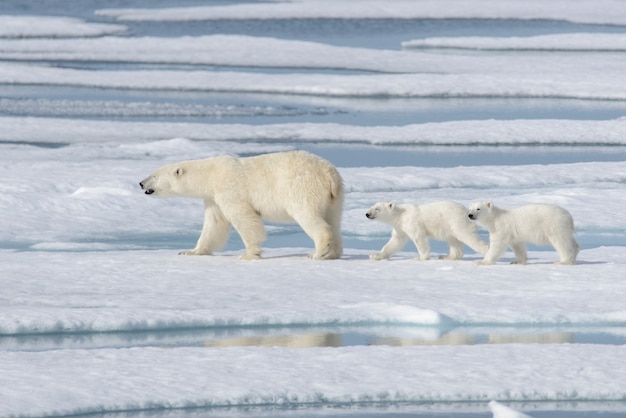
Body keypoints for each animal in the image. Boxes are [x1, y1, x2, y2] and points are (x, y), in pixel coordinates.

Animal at [138, 150, 342, 260]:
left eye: (154, 175)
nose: (141, 183)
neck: (212, 174)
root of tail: (329, 174)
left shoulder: (229, 188)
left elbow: (243, 218)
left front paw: (248, 254)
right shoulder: (213, 198)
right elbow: (214, 224)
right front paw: (190, 251)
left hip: (303, 188)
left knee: (308, 216)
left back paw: (317, 253)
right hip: (335, 197)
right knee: (334, 220)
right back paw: (332, 253)